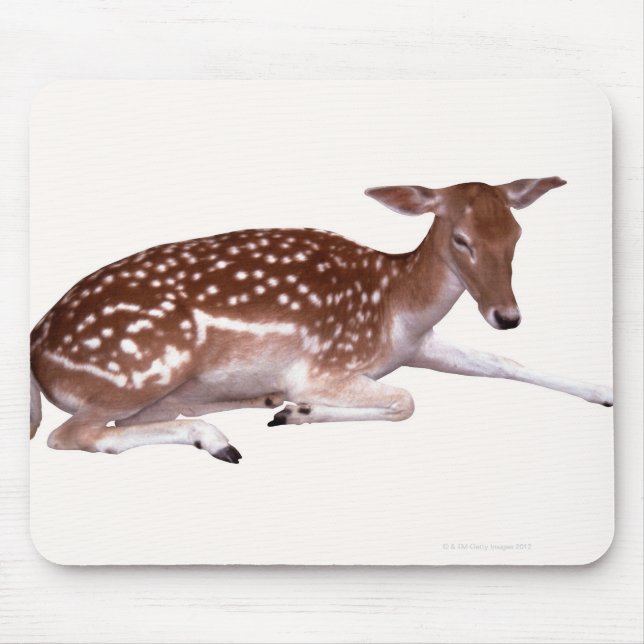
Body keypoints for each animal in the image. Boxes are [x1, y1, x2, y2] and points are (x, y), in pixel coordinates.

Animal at [30, 177, 613, 464]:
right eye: (461, 239)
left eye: (516, 234)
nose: (507, 314)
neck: (396, 306)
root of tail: (35, 348)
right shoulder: (322, 364)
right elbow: (407, 400)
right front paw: (297, 411)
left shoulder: (418, 344)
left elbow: (502, 361)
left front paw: (604, 392)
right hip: (145, 365)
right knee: (71, 436)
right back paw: (221, 440)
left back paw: (249, 407)